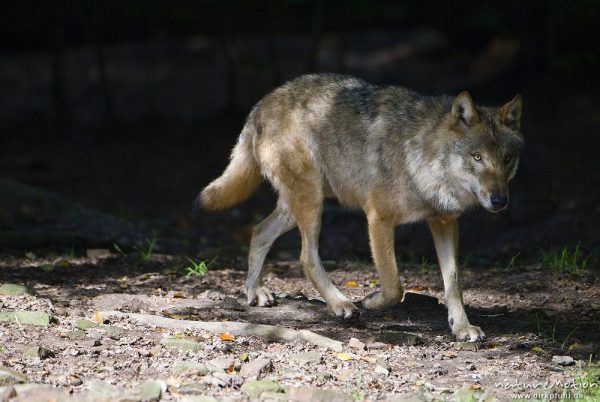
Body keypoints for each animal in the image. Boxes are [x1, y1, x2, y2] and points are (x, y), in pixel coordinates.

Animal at [199, 74, 524, 340]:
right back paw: (340, 304)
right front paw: (370, 301)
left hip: (297, 206)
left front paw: (462, 327)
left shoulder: (444, 222)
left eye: (506, 159)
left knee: (258, 231)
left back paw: (255, 292)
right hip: (311, 202)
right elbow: (395, 287)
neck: (423, 158)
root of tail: (261, 105)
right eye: (477, 157)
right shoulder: (378, 218)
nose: (500, 201)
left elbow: (453, 282)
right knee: (305, 256)